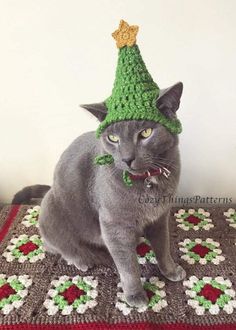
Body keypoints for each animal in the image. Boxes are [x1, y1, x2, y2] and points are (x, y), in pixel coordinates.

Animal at [38, 82, 186, 306]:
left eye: (146, 133)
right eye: (113, 138)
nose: (127, 158)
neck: (147, 181)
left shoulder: (160, 217)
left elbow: (163, 246)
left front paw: (171, 271)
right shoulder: (114, 225)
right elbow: (128, 266)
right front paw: (135, 296)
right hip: (49, 207)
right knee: (64, 248)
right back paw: (81, 260)